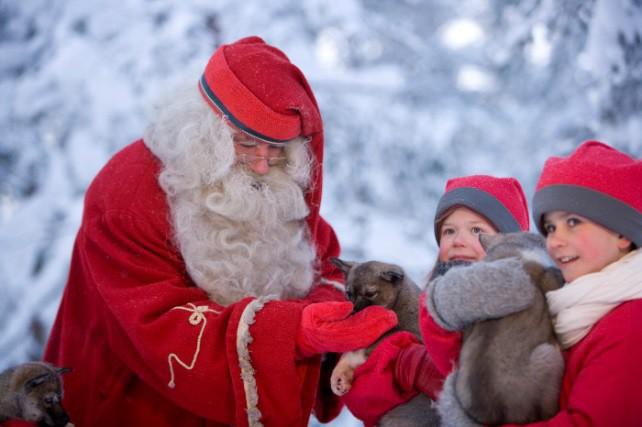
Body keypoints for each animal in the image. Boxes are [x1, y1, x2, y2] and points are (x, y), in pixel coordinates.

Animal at [330, 260, 436, 426]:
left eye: (370, 293)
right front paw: (340, 377)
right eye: (348, 294)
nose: (354, 312)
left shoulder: (411, 333)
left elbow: (363, 349)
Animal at [432, 234, 564, 427]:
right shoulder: (549, 277)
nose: (542, 236)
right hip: (548, 356)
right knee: (548, 410)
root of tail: (499, 415)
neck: (507, 253)